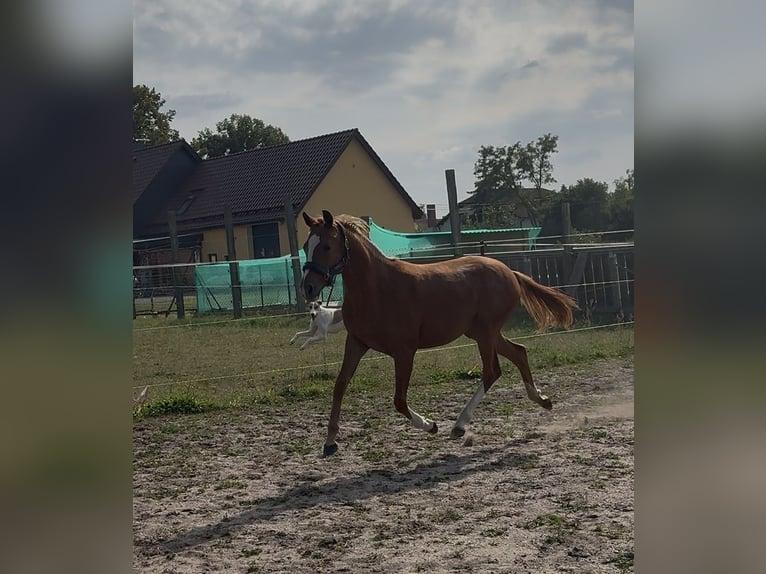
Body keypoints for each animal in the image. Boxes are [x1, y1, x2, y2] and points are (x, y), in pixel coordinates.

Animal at [301, 210, 578, 457]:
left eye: (326, 246)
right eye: (306, 245)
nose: (308, 288)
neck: (377, 289)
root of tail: (510, 272)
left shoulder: (404, 351)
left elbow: (399, 400)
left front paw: (431, 425)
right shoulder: (357, 342)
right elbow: (340, 386)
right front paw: (330, 442)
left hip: (486, 332)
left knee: (491, 371)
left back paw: (459, 426)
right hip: (480, 332)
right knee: (518, 353)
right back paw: (542, 400)